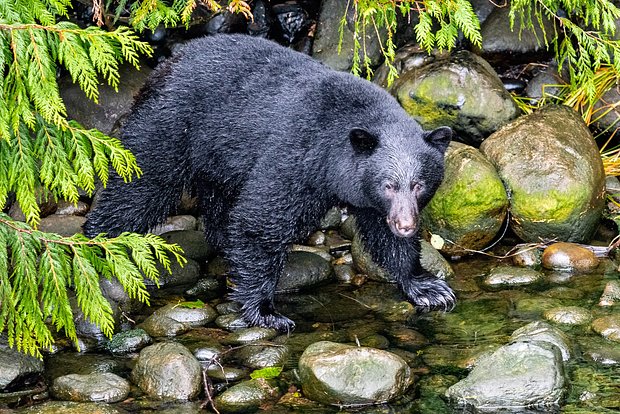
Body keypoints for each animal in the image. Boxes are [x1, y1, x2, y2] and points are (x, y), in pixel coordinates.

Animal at [83, 34, 456, 332]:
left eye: (419, 184)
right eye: (389, 184)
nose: (407, 225)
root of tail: (166, 64)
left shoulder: (370, 200)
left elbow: (384, 235)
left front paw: (427, 286)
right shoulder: (296, 156)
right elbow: (261, 220)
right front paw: (265, 311)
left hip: (218, 157)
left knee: (217, 200)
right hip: (170, 126)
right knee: (141, 187)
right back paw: (99, 242)